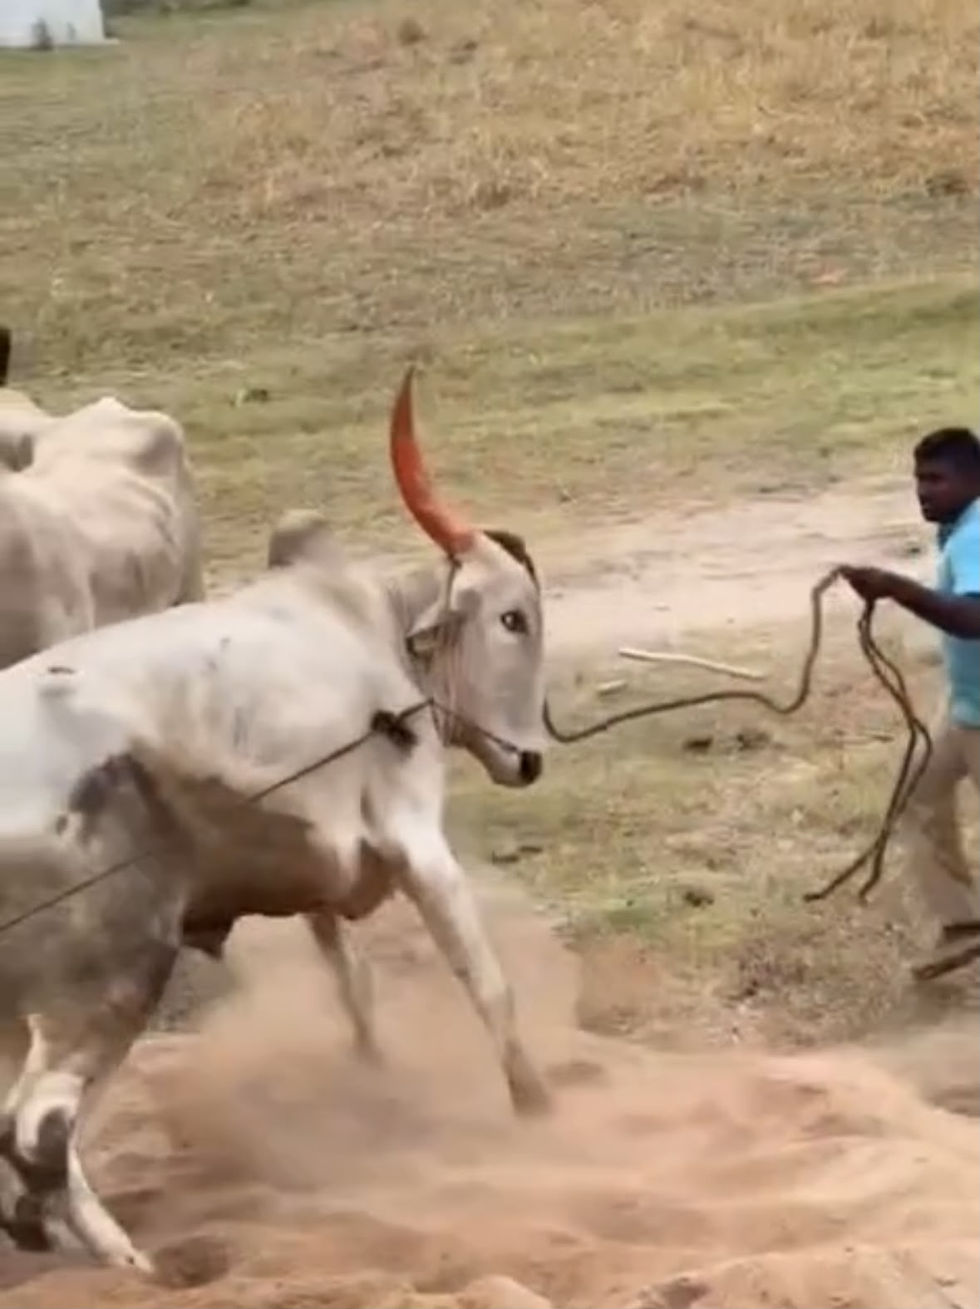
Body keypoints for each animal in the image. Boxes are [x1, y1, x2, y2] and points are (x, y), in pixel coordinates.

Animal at [0, 368, 551, 1274]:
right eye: (513, 617)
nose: (530, 759)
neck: (373, 629)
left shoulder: (318, 867)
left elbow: (352, 980)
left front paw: (377, 1077)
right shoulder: (414, 837)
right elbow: (487, 982)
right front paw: (539, 1108)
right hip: (110, 974)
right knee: (38, 1128)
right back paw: (131, 1266)